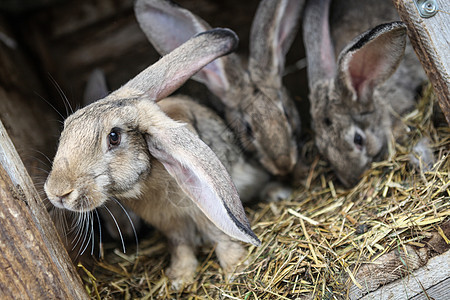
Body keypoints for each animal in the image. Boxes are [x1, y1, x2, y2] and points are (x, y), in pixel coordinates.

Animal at [44, 28, 262, 288]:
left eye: (114, 137)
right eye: (67, 126)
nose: (57, 192)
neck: (146, 184)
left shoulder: (203, 212)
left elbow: (221, 236)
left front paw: (236, 266)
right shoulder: (171, 225)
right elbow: (180, 245)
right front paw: (179, 277)